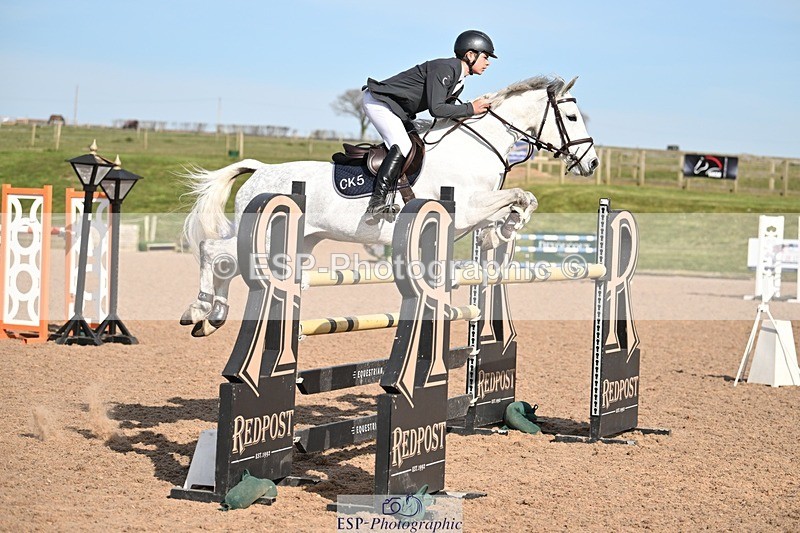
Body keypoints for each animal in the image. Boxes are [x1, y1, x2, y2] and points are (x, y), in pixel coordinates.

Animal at [181, 75, 597, 337]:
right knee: (214, 250)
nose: (591, 163)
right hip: (265, 237)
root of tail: (261, 169)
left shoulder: (473, 212)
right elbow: (519, 196)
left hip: (297, 241)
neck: (476, 147)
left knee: (226, 261)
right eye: (571, 116)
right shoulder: (464, 207)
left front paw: (505, 230)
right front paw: (510, 223)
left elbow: (517, 205)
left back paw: (215, 316)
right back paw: (199, 310)